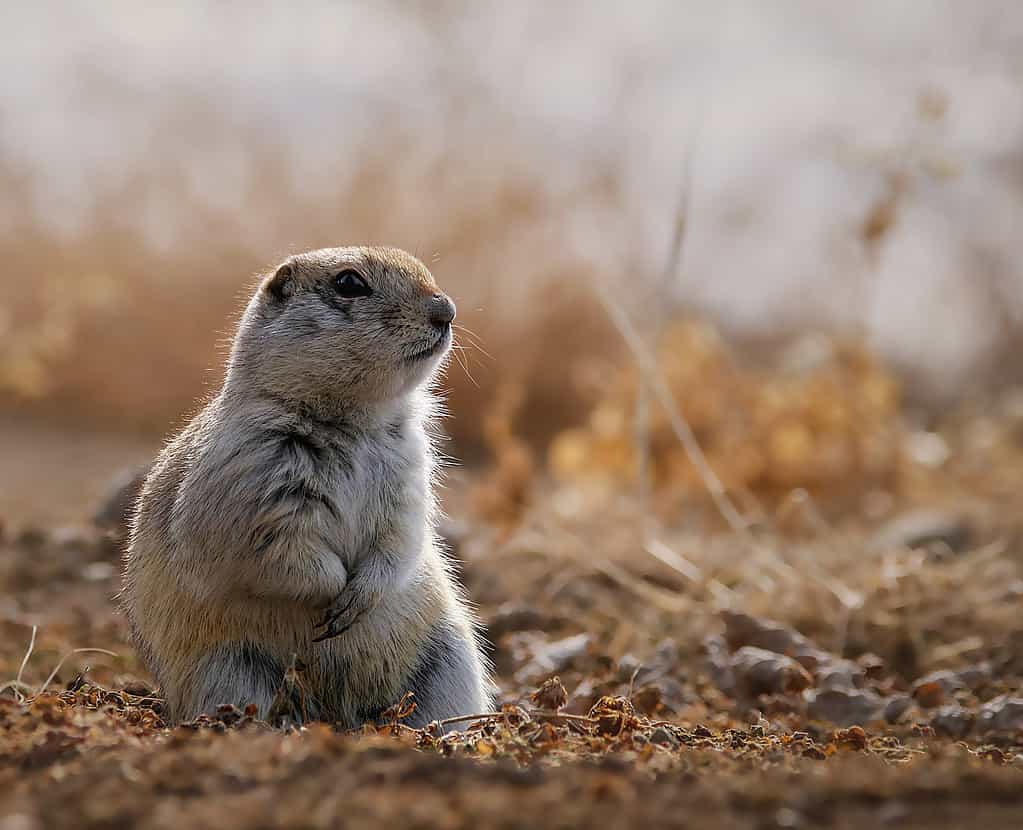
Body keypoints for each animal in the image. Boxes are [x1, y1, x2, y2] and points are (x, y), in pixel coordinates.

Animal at [123, 244, 491, 728]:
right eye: (349, 283)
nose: (446, 310)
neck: (353, 418)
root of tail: (342, 717)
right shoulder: (258, 486)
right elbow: (287, 553)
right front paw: (336, 597)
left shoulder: (409, 481)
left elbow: (401, 540)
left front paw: (358, 597)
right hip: (226, 668)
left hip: (450, 657)